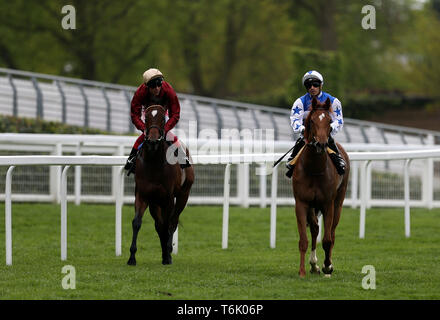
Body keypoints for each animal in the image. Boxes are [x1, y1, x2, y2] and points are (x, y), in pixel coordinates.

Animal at [128, 104, 195, 264]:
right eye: (146, 118)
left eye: (162, 119)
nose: (152, 141)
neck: (154, 163)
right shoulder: (142, 195)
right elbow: (137, 222)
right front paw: (132, 257)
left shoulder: (168, 198)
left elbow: (167, 224)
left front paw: (167, 255)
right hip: (154, 202)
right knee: (159, 224)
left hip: (183, 195)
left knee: (172, 221)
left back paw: (168, 251)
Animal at [290, 97, 348, 278]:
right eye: (312, 121)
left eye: (329, 121)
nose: (321, 144)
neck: (315, 169)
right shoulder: (301, 203)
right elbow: (304, 239)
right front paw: (302, 271)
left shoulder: (328, 203)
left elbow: (327, 239)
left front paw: (327, 266)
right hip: (312, 206)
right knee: (315, 229)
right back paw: (314, 264)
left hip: (339, 202)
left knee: (332, 233)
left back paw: (324, 265)